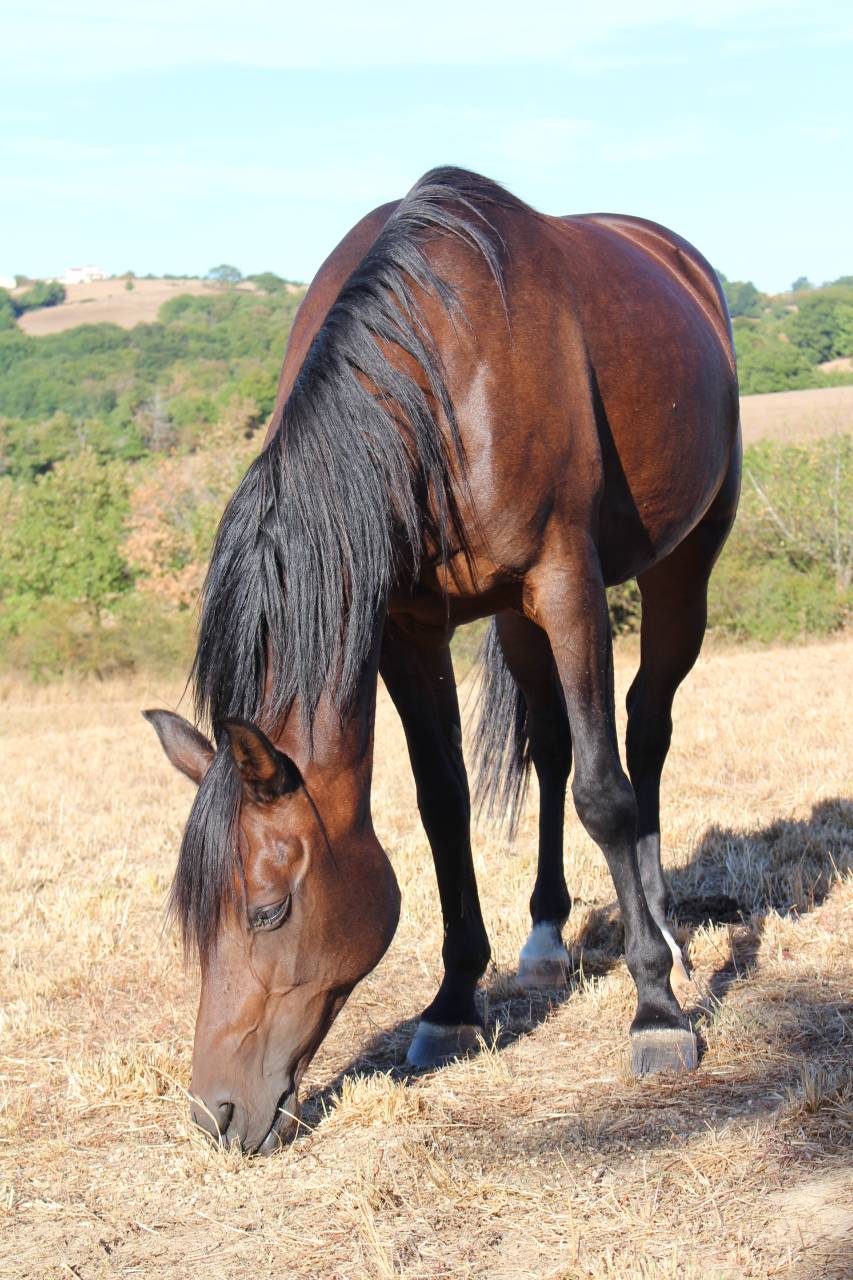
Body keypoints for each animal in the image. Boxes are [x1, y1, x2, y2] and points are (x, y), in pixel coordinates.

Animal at [145, 167, 740, 1154]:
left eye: (267, 910)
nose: (216, 1113)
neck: (435, 373)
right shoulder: (408, 628)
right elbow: (442, 806)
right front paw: (455, 1004)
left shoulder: (567, 584)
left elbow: (605, 795)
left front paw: (655, 1010)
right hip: (516, 622)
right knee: (549, 751)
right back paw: (544, 942)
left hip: (677, 569)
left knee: (642, 734)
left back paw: (664, 932)